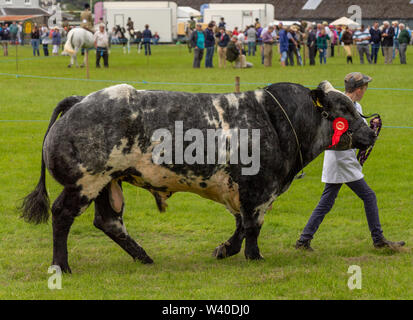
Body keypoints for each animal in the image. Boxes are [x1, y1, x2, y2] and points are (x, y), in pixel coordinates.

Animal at [21, 80, 376, 272]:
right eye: (345, 110)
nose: (371, 132)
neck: (279, 121)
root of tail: (80, 100)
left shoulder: (242, 191)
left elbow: (241, 225)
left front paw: (225, 249)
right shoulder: (258, 189)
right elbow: (252, 226)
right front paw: (254, 256)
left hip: (109, 182)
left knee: (109, 222)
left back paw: (144, 257)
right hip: (86, 181)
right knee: (62, 214)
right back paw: (61, 265)